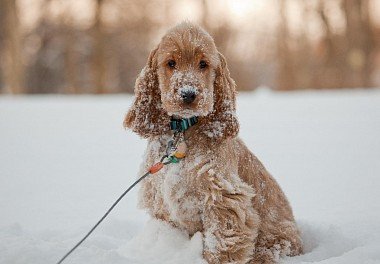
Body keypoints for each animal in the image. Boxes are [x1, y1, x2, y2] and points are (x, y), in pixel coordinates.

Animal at [124, 22, 302, 264]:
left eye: (203, 64)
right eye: (171, 63)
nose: (188, 94)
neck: (182, 131)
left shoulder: (223, 198)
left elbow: (220, 244)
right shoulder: (160, 201)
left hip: (276, 240)